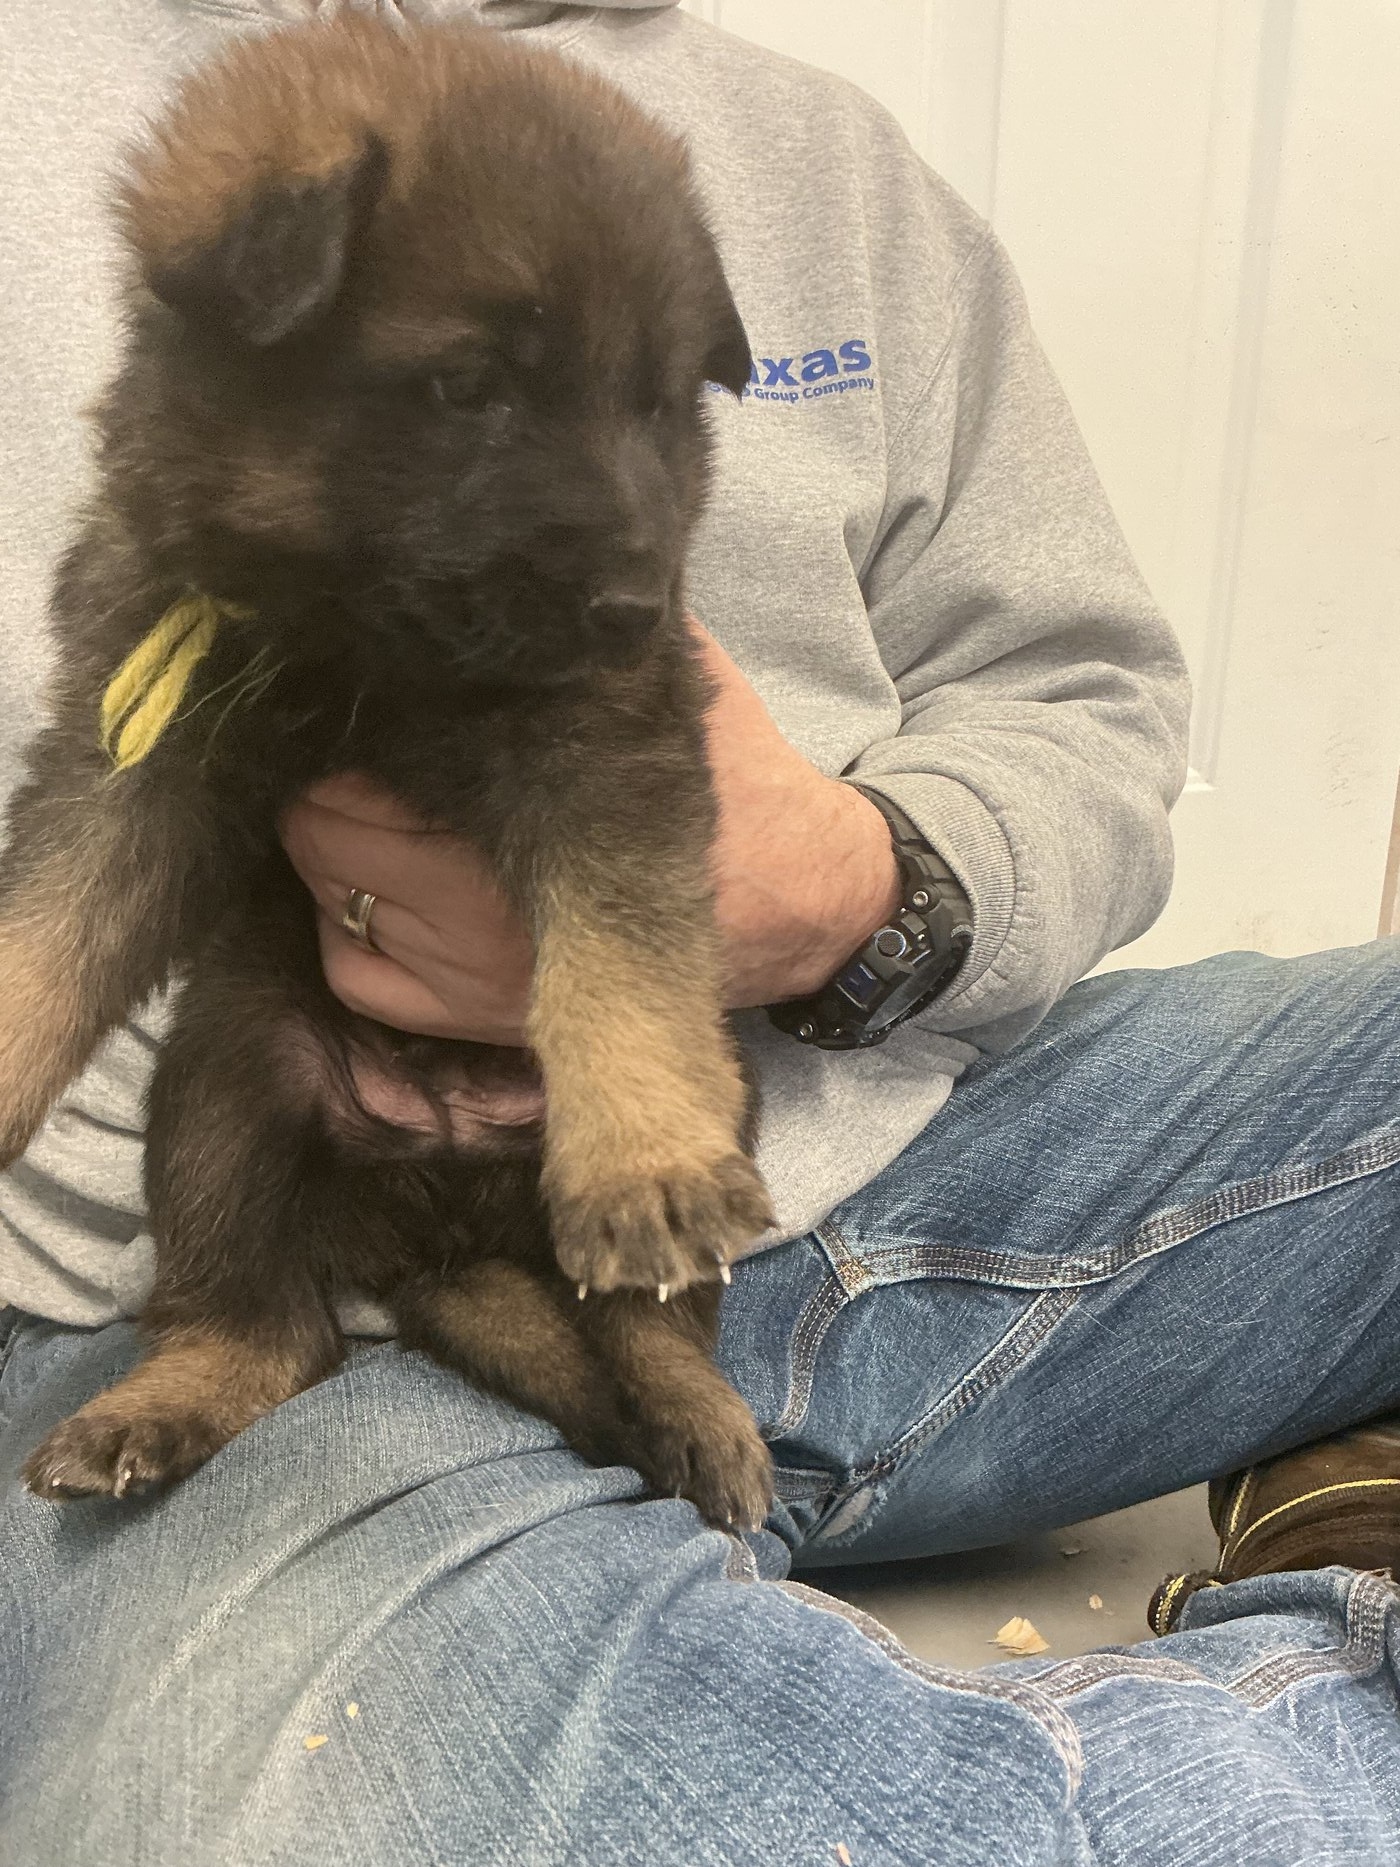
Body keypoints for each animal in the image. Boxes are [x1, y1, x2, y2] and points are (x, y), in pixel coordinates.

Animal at [1, 14, 776, 1529]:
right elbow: (45, 933)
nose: (634, 607)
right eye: (470, 388)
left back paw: (697, 1405)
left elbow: (624, 955)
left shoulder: (612, 745)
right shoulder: (134, 760)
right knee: (265, 1330)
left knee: (648, 1314)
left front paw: (644, 1155)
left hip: (732, 1113)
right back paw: (159, 1404)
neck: (349, 638)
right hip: (226, 1089)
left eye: (661, 407)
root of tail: (439, 1212)